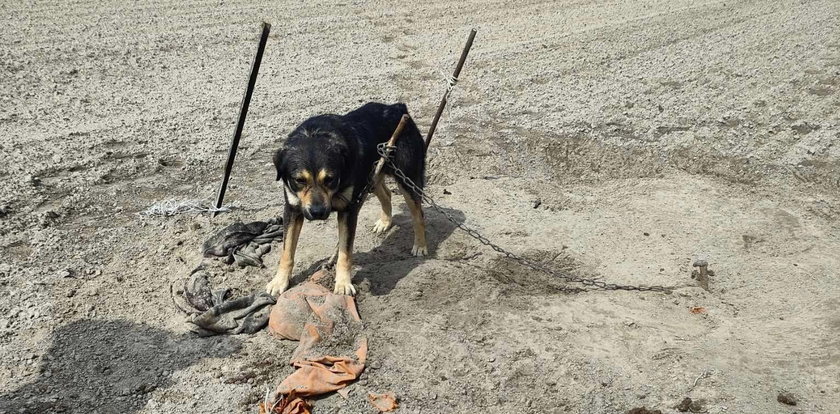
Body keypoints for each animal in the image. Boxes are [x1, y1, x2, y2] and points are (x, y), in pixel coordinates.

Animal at [268, 102, 430, 296]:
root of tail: (397, 107)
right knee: (387, 194)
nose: (317, 212)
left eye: (329, 179)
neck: (314, 133)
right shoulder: (292, 210)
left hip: (407, 179)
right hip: (372, 176)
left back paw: (420, 245)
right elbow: (287, 251)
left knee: (418, 214)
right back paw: (385, 222)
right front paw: (279, 281)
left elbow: (345, 253)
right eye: (299, 180)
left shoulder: (348, 210)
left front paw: (343, 284)